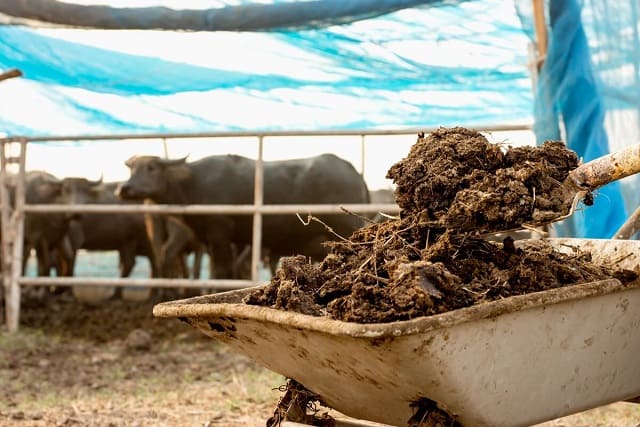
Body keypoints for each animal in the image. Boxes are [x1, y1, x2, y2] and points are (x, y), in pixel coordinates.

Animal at [117, 153, 372, 278]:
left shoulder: (220, 233)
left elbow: (222, 271)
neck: (195, 184)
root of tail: (352, 171)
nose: (124, 188)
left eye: (151, 168)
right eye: (131, 169)